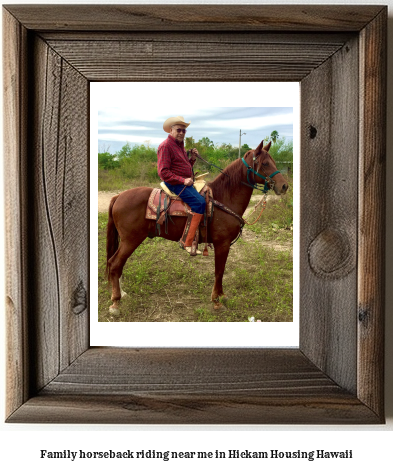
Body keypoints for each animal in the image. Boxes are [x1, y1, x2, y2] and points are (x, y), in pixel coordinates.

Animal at [105, 141, 288, 314]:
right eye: (265, 163)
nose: (284, 186)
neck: (224, 197)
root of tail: (118, 196)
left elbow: (221, 271)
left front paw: (222, 295)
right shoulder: (222, 244)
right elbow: (219, 271)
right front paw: (216, 301)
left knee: (117, 265)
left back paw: (122, 294)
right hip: (131, 240)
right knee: (114, 264)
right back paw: (115, 302)